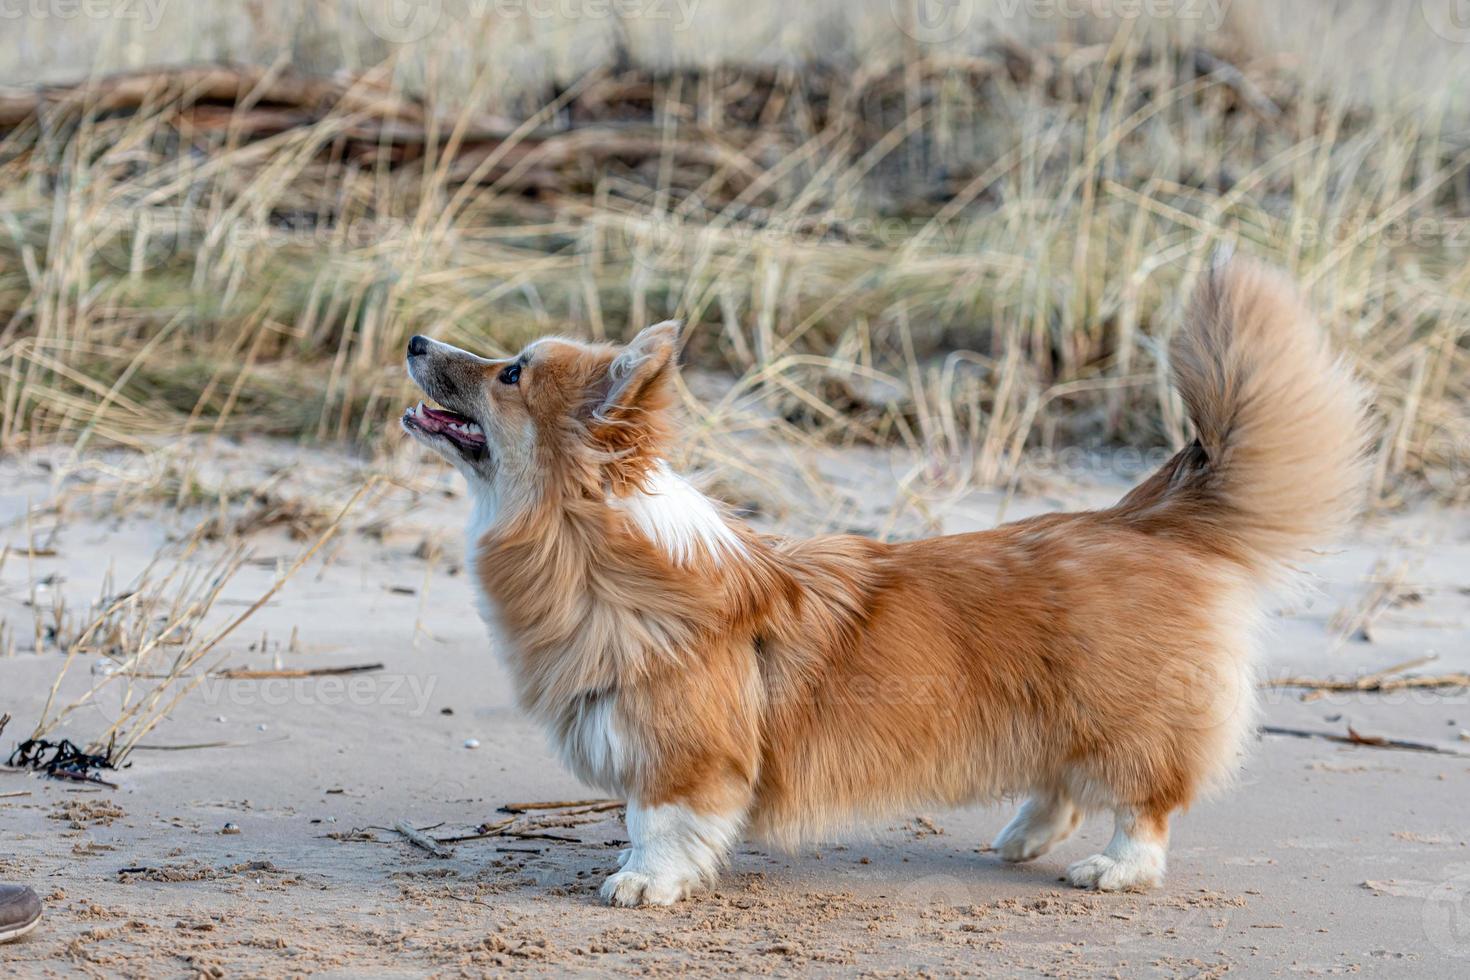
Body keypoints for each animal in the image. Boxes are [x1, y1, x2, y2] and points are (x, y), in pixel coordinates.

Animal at [399, 257, 1364, 910]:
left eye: (511, 371)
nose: (413, 338)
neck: (589, 544)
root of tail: (1142, 518)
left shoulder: (683, 752)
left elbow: (659, 823)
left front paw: (643, 884)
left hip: (1125, 720)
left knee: (1144, 805)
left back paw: (1114, 869)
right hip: (1055, 710)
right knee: (1059, 786)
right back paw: (1020, 839)